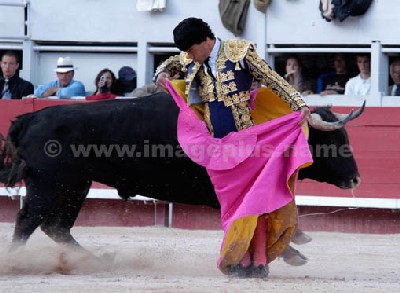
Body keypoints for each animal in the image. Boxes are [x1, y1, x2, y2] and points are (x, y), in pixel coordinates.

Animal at [0, 92, 362, 253]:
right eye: (334, 140)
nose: (356, 178)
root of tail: (31, 117)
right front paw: (292, 248)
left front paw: (297, 238)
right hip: (50, 185)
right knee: (28, 222)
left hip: (75, 186)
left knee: (56, 227)